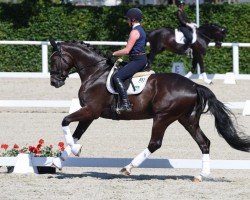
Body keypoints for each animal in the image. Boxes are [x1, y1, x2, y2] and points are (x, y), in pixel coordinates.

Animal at [48, 39, 248, 182]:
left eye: (54, 59)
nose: (54, 82)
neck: (95, 73)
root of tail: (194, 85)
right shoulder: (90, 114)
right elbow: (76, 134)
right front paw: (59, 160)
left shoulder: (91, 111)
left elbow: (65, 121)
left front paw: (75, 151)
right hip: (187, 119)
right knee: (204, 142)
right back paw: (200, 175)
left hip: (163, 117)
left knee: (155, 143)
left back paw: (128, 168)